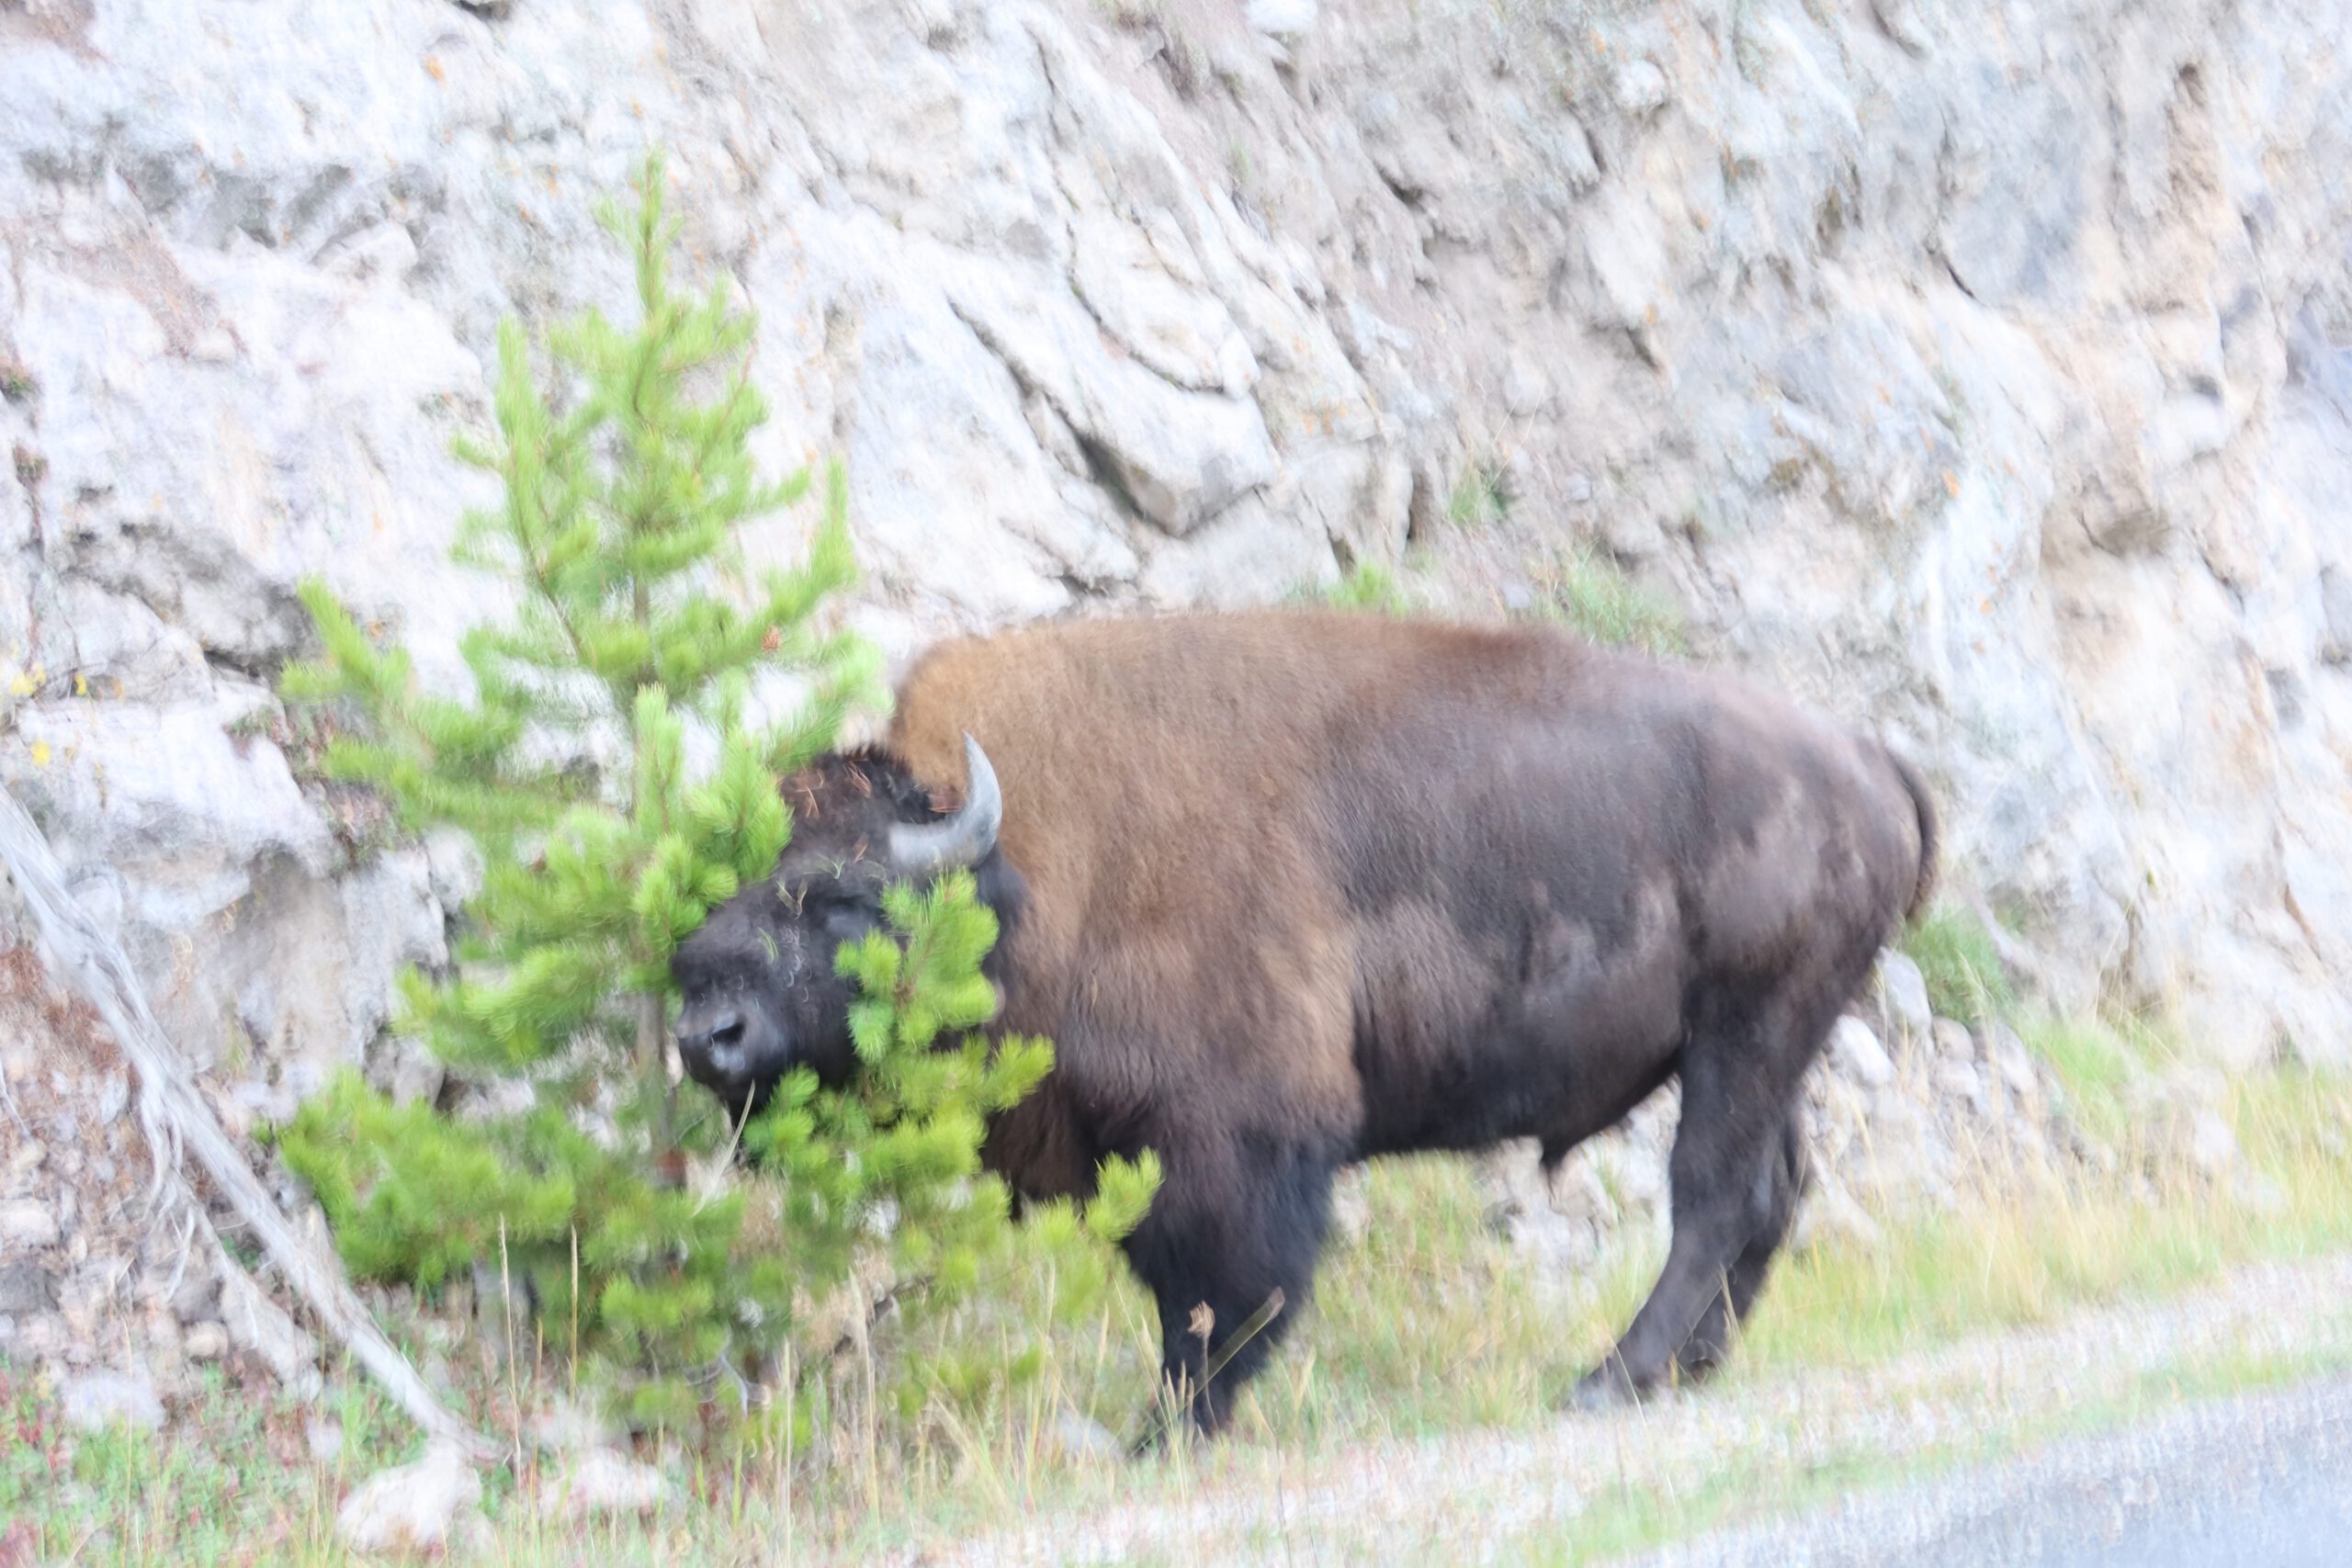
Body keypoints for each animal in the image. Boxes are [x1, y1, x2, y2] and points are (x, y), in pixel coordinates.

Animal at [670, 609, 1937, 1435]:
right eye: (745, 877)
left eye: (846, 895)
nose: (704, 1025)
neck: (1030, 869)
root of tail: (1862, 760)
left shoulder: (1233, 1142)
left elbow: (1218, 1296)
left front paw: (1171, 1431)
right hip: (1755, 1049)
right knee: (1768, 1191)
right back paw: (1686, 1372)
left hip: (1745, 1034)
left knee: (1712, 1197)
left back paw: (1606, 1381)